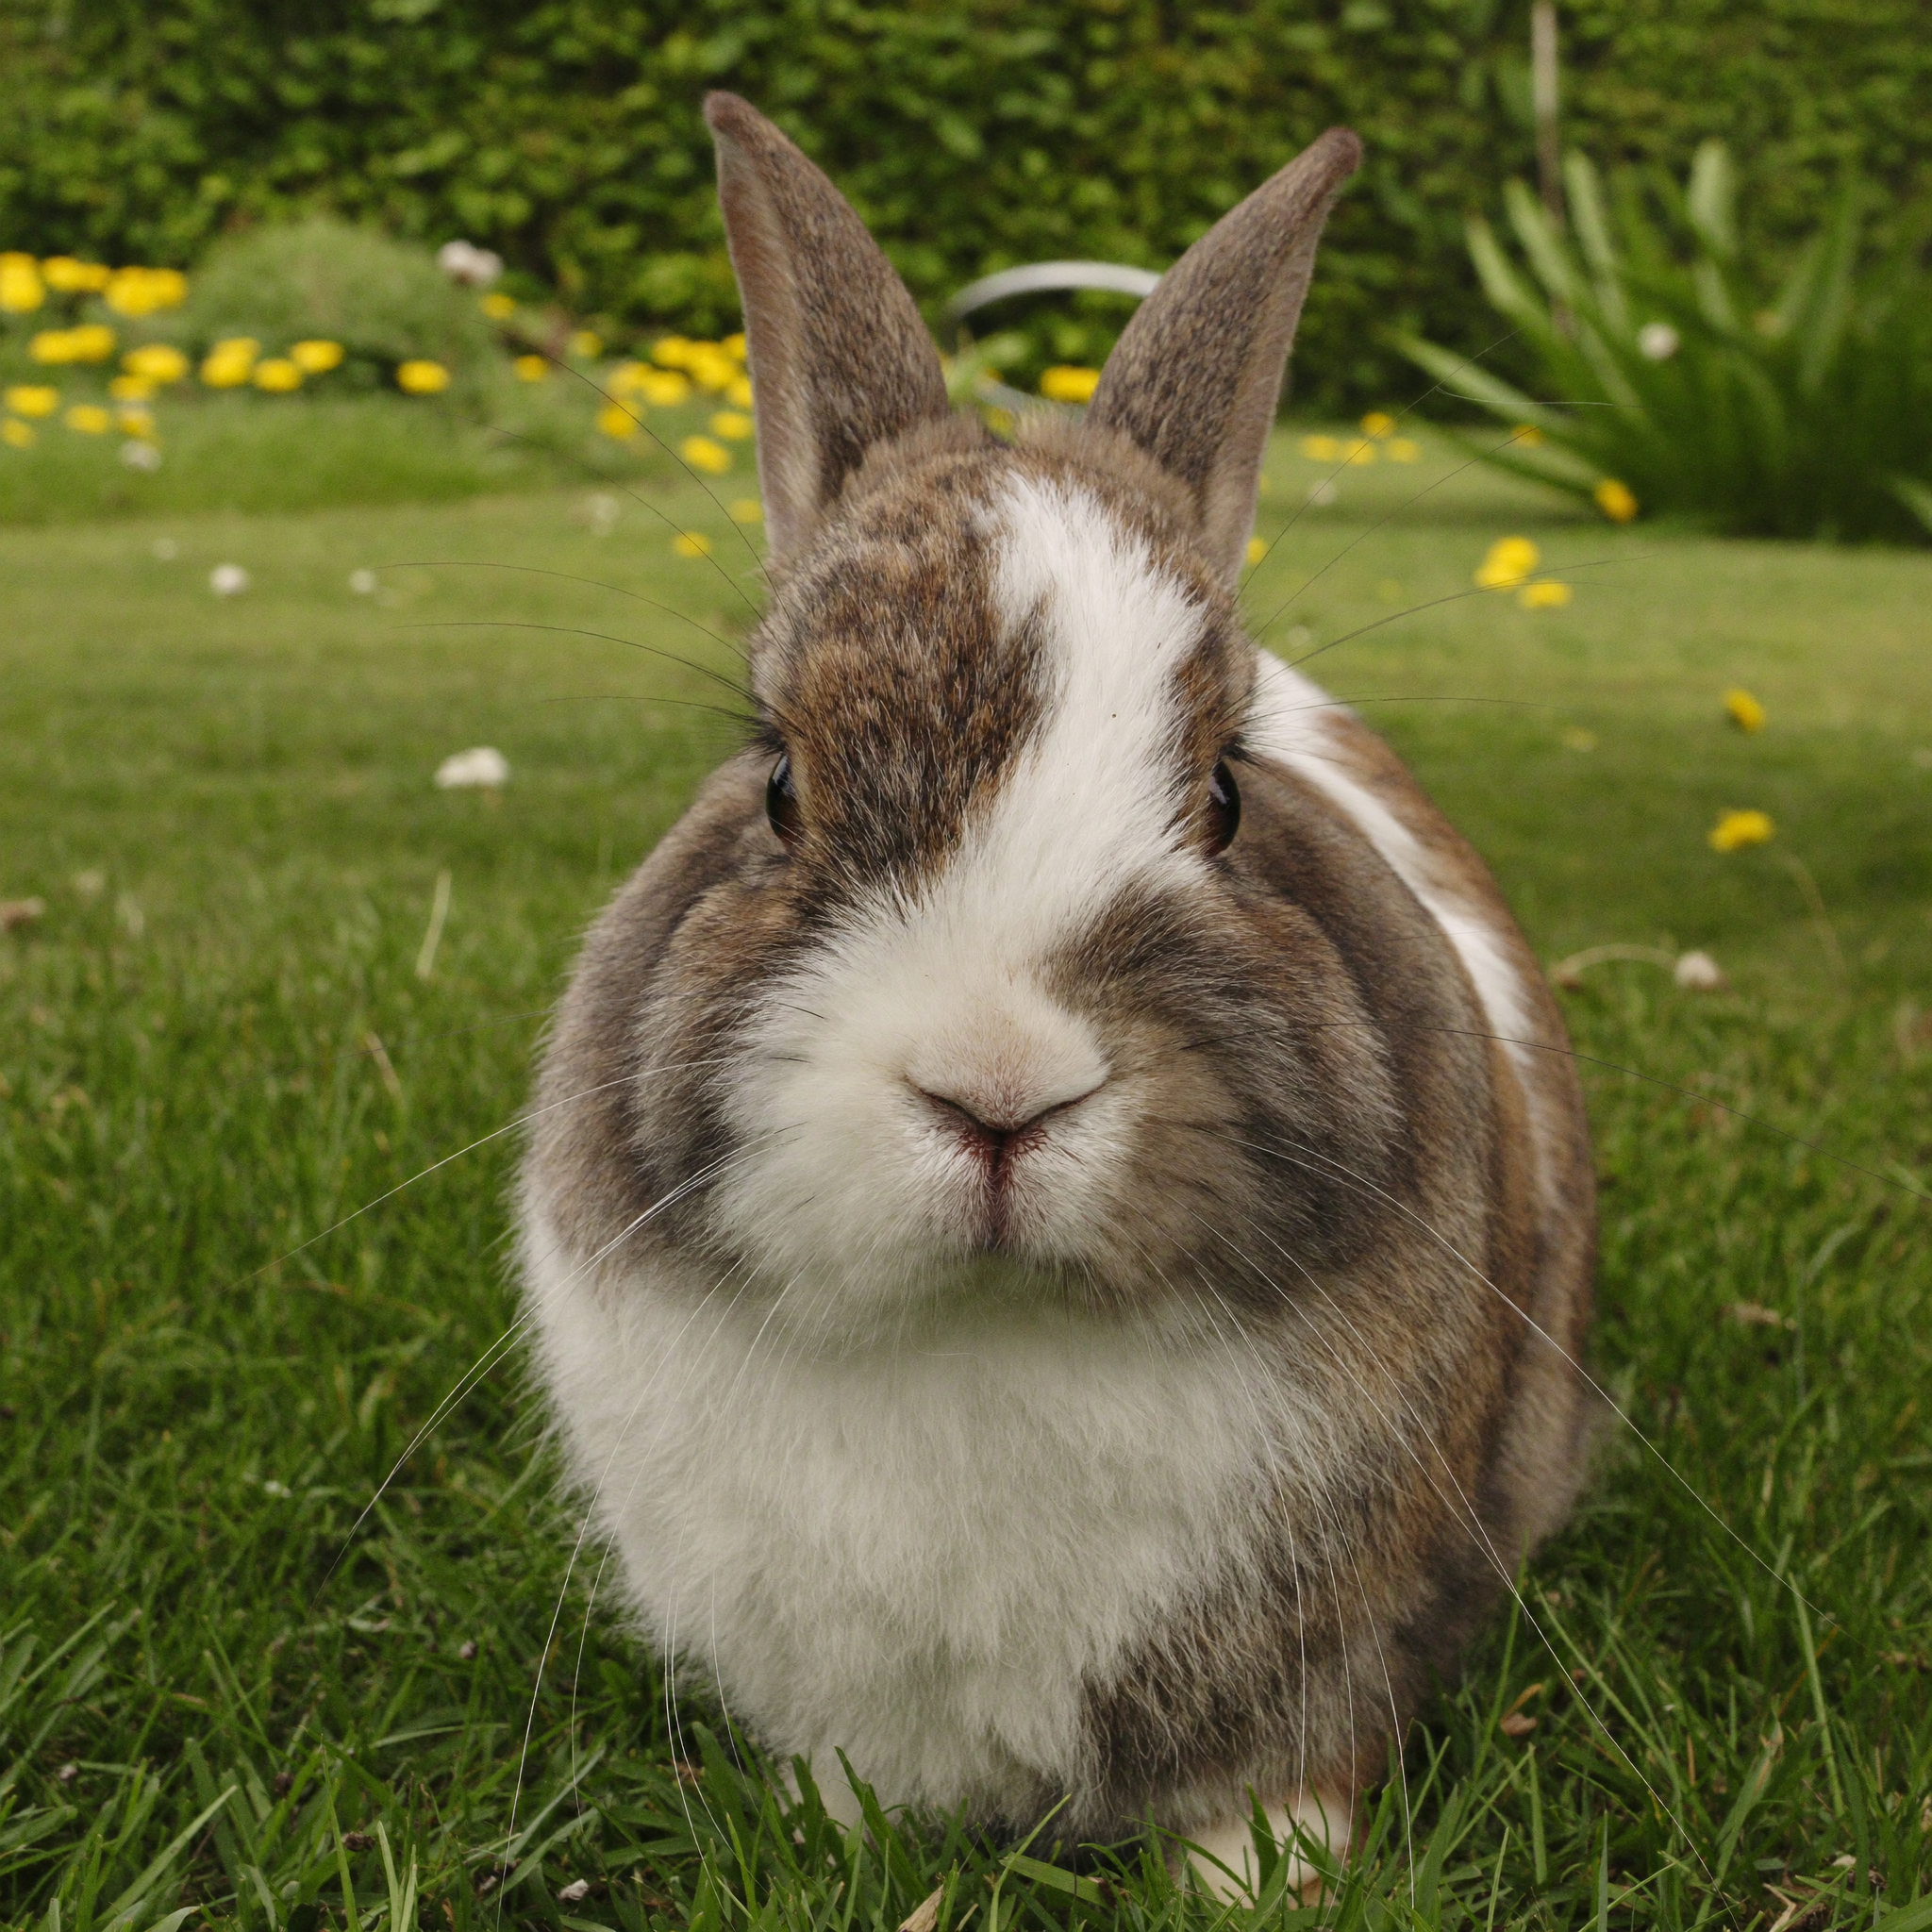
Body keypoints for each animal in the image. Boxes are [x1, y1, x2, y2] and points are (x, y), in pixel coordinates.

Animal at [517, 91, 1597, 1895]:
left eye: (1225, 795)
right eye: (780, 786)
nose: (999, 1086)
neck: (993, 1324)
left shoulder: (1332, 1634)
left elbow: (1280, 1776)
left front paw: (1263, 1893)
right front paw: (839, 1846)